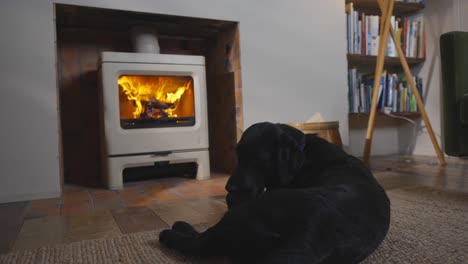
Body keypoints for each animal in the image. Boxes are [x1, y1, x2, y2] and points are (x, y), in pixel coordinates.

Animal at [159, 122, 390, 262]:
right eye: (238, 155)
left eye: (259, 160)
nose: (229, 188)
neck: (304, 153)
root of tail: (305, 236)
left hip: (247, 211)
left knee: (201, 242)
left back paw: (173, 231)